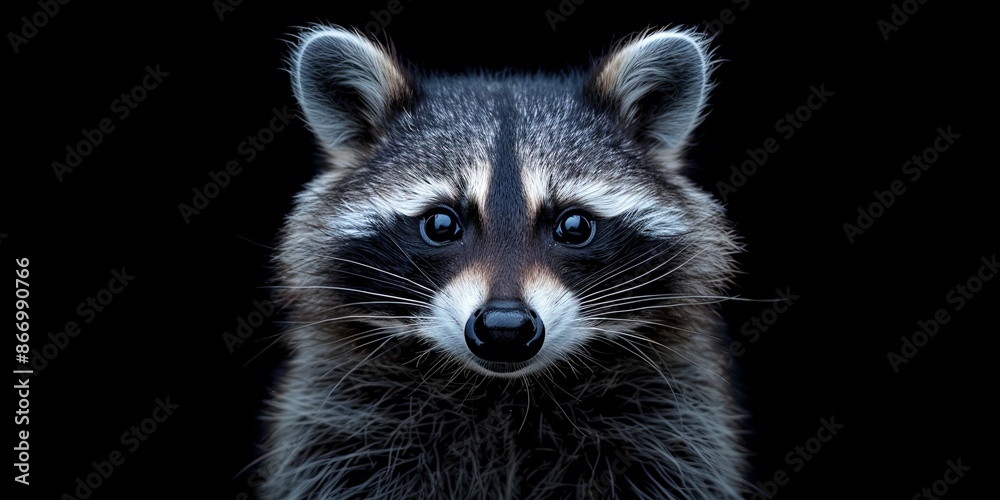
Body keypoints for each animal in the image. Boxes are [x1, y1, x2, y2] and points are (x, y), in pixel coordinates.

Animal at [259, 25, 749, 499]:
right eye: (441, 224)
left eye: (574, 226)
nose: (504, 327)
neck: (506, 391)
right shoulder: (343, 416)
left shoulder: (668, 418)